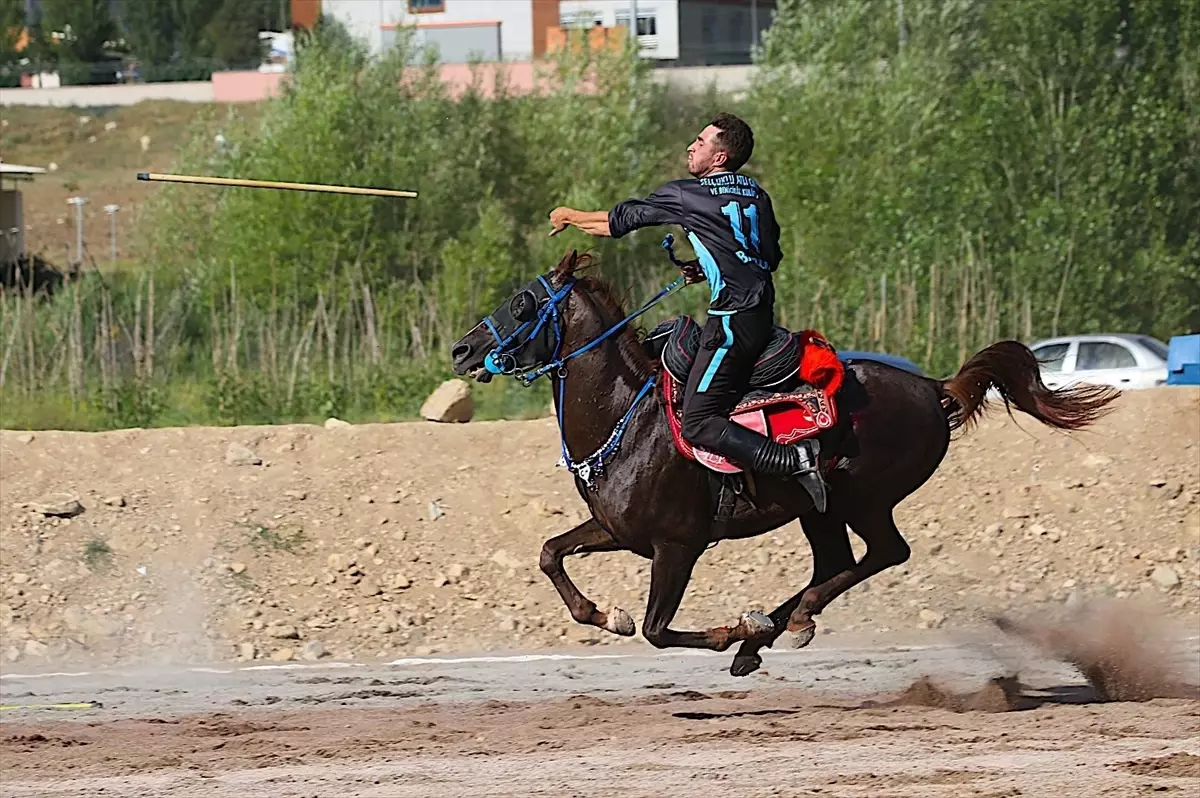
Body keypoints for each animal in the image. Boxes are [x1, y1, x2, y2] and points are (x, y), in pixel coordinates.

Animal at [448, 249, 1113, 672]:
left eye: (523, 301)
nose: (462, 349)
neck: (627, 419)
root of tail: (933, 386)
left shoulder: (677, 545)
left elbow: (658, 630)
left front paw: (729, 631)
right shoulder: (616, 530)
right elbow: (550, 553)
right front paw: (604, 614)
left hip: (861, 499)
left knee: (882, 554)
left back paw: (778, 626)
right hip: (818, 511)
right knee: (837, 563)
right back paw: (774, 630)